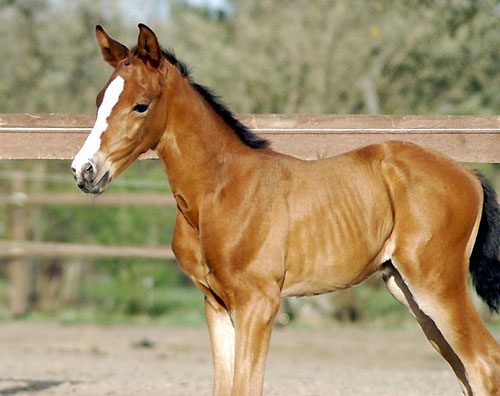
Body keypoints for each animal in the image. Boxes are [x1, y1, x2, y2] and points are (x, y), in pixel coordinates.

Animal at [71, 25, 500, 396]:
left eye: (141, 105)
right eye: (99, 101)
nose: (84, 170)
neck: (218, 192)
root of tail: (468, 174)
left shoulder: (258, 303)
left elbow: (246, 387)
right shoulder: (216, 305)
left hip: (437, 286)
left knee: (483, 363)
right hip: (407, 290)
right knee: (465, 370)